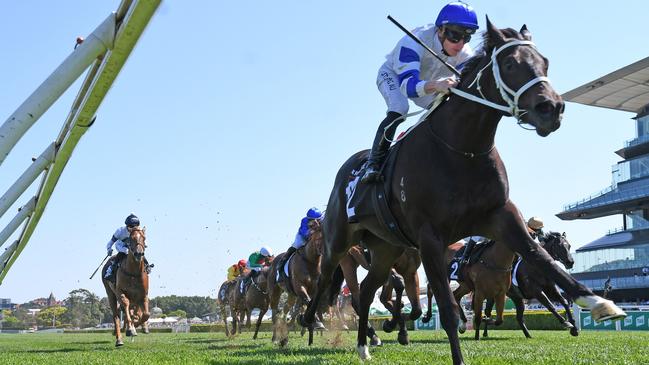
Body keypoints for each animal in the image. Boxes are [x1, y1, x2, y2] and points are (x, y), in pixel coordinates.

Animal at [302, 18, 624, 362]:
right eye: (510, 64)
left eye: (545, 62)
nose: (551, 108)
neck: (461, 148)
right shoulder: (430, 237)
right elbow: (448, 309)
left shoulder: (500, 216)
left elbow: (540, 257)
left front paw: (598, 303)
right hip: (339, 240)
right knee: (325, 277)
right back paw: (309, 320)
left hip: (386, 248)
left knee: (364, 291)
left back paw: (363, 345)